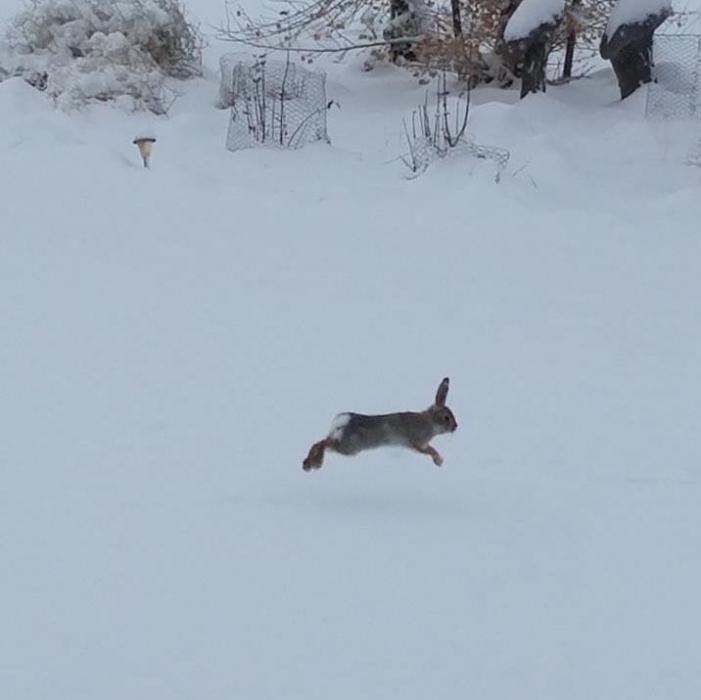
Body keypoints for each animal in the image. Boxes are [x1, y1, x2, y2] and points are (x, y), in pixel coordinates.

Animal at [302, 378, 457, 471]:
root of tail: (342, 422)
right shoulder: (417, 443)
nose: (456, 427)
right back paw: (313, 464)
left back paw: (310, 463)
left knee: (322, 442)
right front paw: (439, 461)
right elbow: (430, 450)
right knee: (325, 443)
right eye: (447, 418)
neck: (430, 421)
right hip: (350, 448)